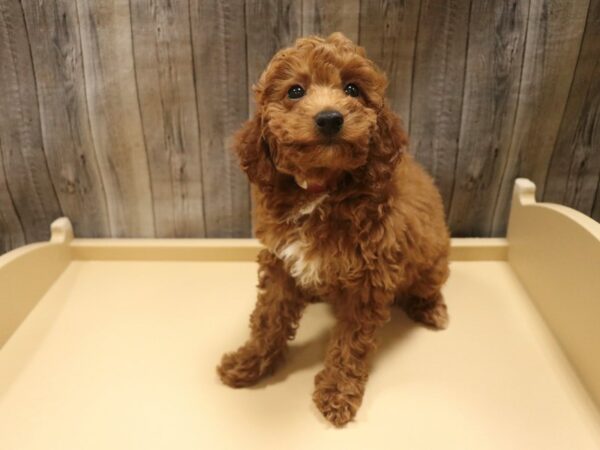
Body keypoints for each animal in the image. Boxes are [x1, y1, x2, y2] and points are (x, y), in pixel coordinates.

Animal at [218, 33, 448, 428]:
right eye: (295, 91)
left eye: (353, 89)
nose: (329, 119)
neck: (322, 189)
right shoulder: (281, 261)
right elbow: (268, 319)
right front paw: (248, 362)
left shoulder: (368, 283)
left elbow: (350, 344)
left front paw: (338, 394)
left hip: (433, 261)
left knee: (428, 286)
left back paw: (431, 309)